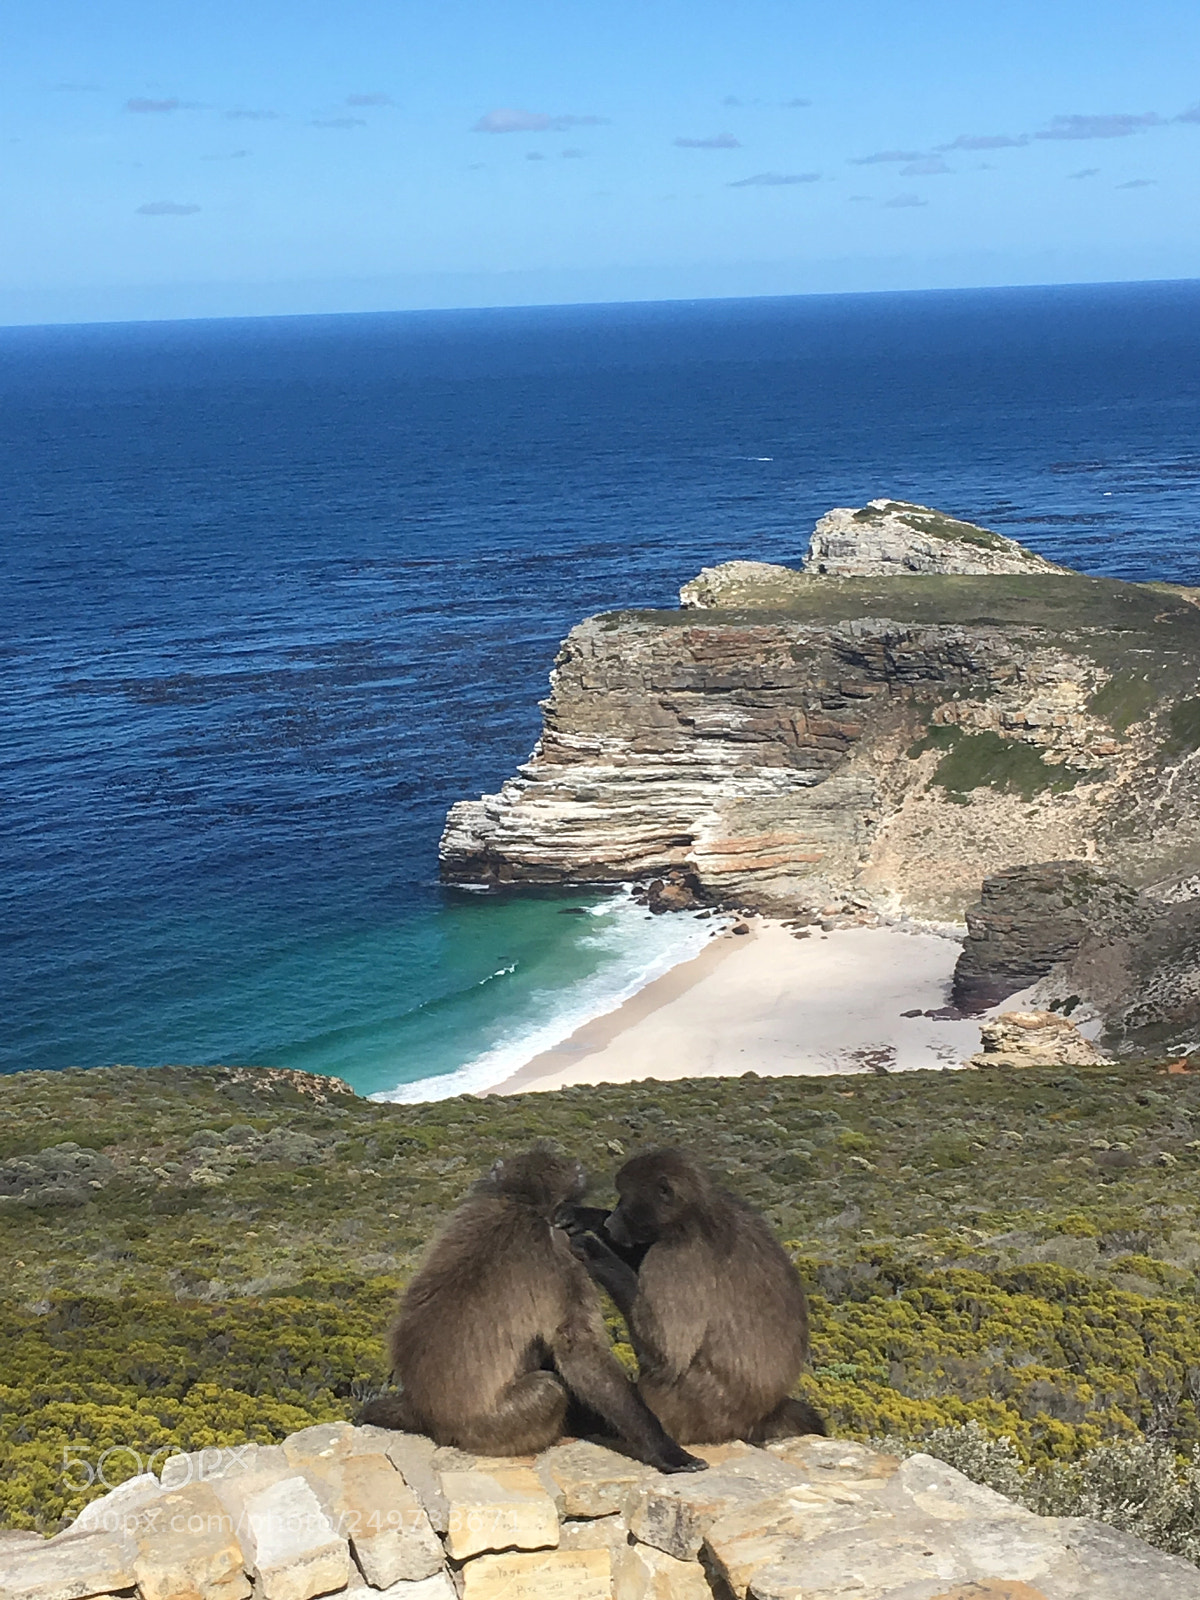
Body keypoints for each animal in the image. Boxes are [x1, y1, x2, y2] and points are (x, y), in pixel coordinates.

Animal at [359, 1148, 706, 1472]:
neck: (525, 1202)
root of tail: (422, 1412)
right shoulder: (564, 1251)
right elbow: (579, 1348)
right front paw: (667, 1450)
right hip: (491, 1427)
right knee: (550, 1389)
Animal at [563, 1147, 827, 1445]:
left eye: (624, 1197)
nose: (610, 1222)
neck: (692, 1214)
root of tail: (760, 1419)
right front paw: (587, 1217)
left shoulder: (674, 1258)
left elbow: (667, 1354)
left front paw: (595, 1252)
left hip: (694, 1412)